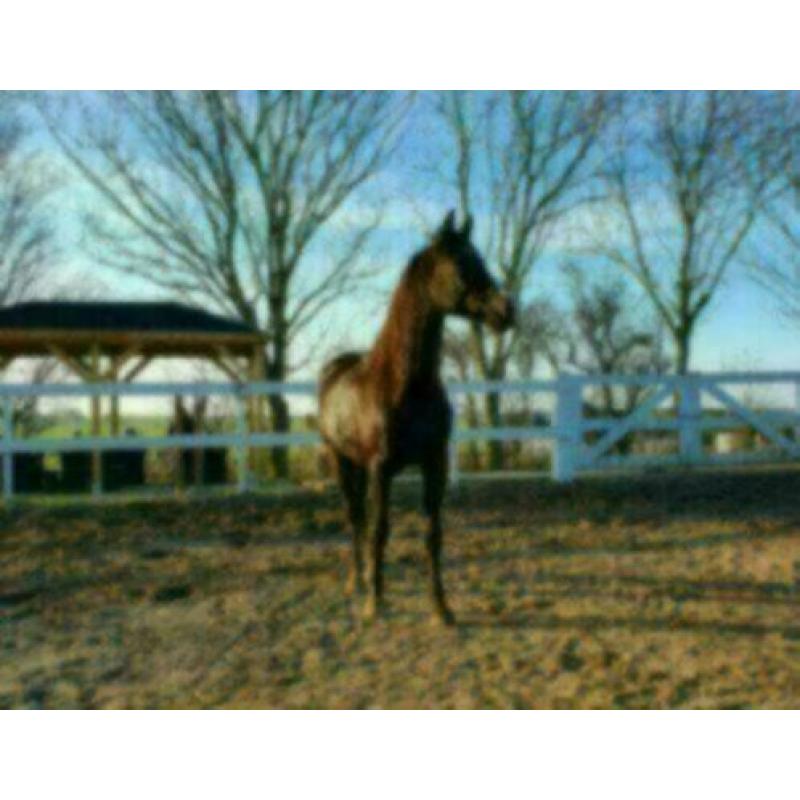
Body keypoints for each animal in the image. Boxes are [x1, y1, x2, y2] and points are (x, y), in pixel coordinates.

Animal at [318, 210, 515, 625]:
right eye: (460, 265)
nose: (506, 311)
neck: (404, 383)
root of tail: (333, 370)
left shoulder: (434, 463)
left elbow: (432, 534)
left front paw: (441, 608)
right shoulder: (381, 468)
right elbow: (380, 530)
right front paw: (374, 605)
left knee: (359, 519)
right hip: (341, 460)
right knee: (354, 518)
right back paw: (356, 583)